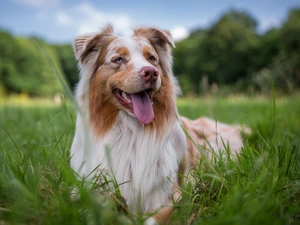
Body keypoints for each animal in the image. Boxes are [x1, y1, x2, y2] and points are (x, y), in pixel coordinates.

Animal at [71, 25, 246, 224]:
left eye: (151, 58)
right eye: (118, 59)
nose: (151, 72)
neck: (130, 131)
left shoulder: (170, 196)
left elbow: (150, 220)